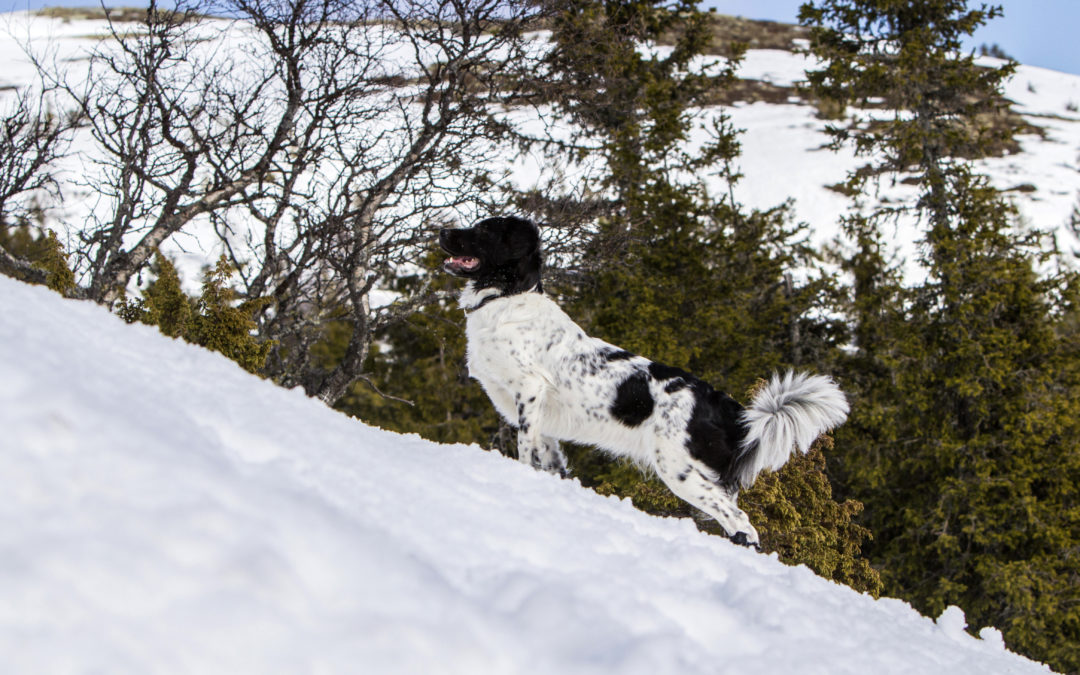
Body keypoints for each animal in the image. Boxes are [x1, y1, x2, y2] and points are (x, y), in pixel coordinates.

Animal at [440, 216, 851, 548]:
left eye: (484, 230)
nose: (442, 230)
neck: (505, 298)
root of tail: (727, 406)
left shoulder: (529, 391)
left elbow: (526, 451)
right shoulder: (545, 420)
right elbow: (551, 461)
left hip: (680, 470)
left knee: (743, 524)